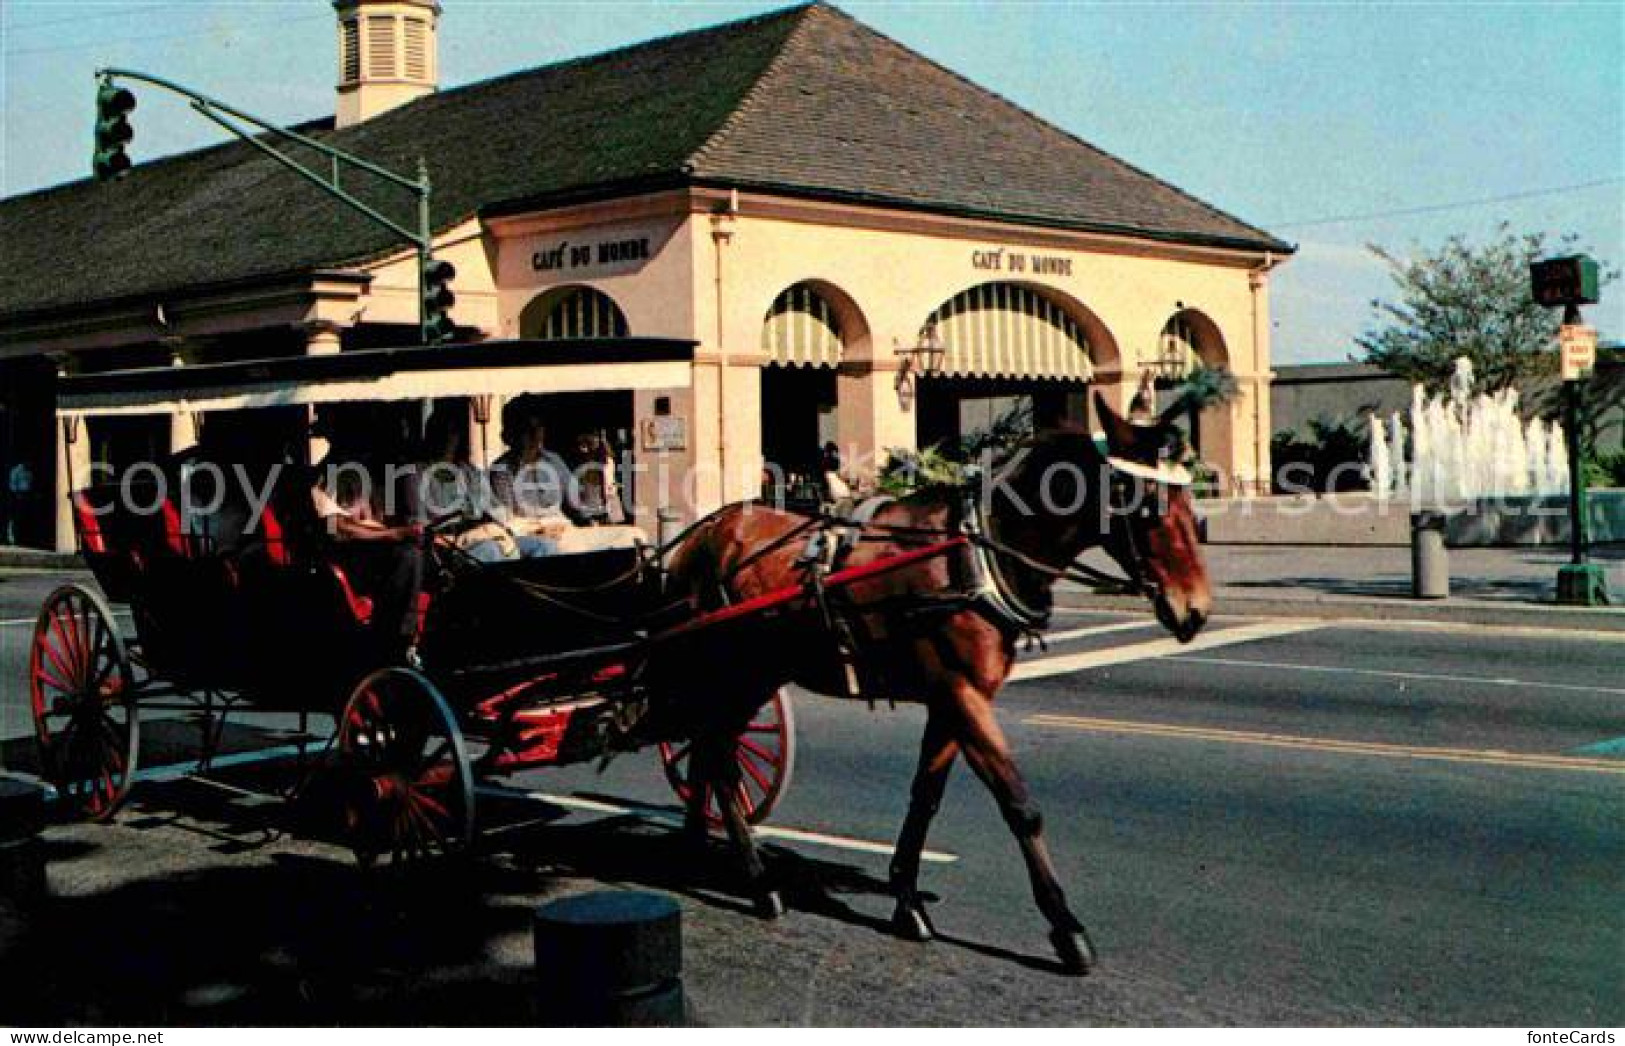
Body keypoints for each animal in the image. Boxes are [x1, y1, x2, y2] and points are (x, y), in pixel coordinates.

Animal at [656, 393, 1209, 974]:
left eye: (1190, 500)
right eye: (1146, 505)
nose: (1194, 609)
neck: (977, 554)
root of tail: (698, 537)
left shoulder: (951, 700)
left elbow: (925, 797)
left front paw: (906, 900)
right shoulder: (962, 694)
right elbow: (1020, 806)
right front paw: (1065, 925)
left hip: (754, 673)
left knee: (710, 749)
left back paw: (700, 842)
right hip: (733, 672)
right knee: (716, 754)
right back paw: (758, 881)